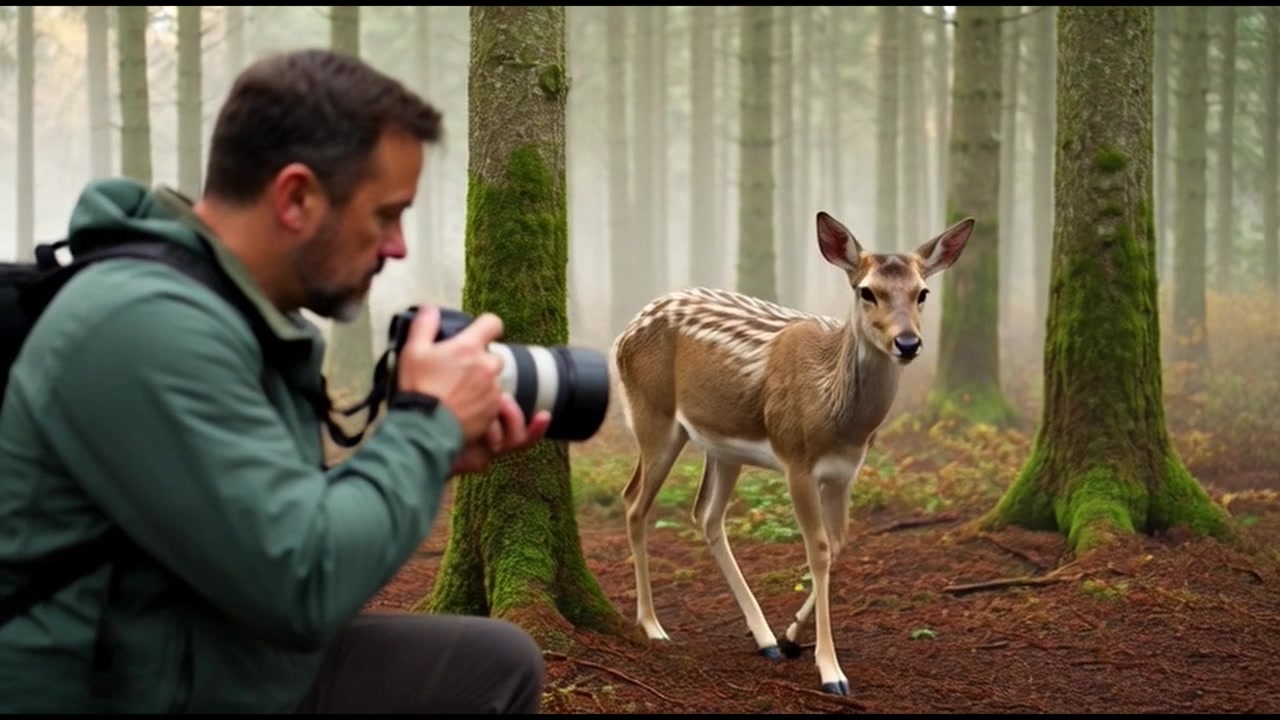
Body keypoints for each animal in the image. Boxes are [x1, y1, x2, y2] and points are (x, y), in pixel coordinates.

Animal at [608, 210, 975, 696]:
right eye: (866, 291)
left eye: (923, 292)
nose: (908, 343)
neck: (839, 418)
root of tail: (622, 334)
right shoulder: (796, 460)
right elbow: (817, 548)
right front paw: (831, 671)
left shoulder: (845, 472)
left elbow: (838, 544)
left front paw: (792, 636)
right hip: (653, 415)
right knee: (634, 501)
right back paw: (652, 625)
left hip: (723, 446)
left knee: (705, 514)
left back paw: (764, 638)